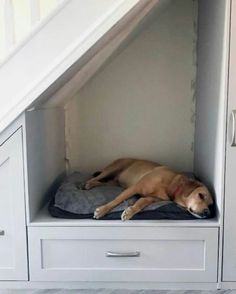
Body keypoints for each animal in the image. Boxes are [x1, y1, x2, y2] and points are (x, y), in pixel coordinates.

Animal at [84, 158, 213, 220]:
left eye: (210, 204)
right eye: (201, 195)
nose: (207, 213)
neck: (171, 185)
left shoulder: (150, 198)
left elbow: (140, 204)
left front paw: (130, 211)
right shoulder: (135, 188)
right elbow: (116, 200)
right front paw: (102, 210)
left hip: (116, 183)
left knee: (101, 182)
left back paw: (91, 184)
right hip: (113, 168)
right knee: (96, 177)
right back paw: (86, 184)